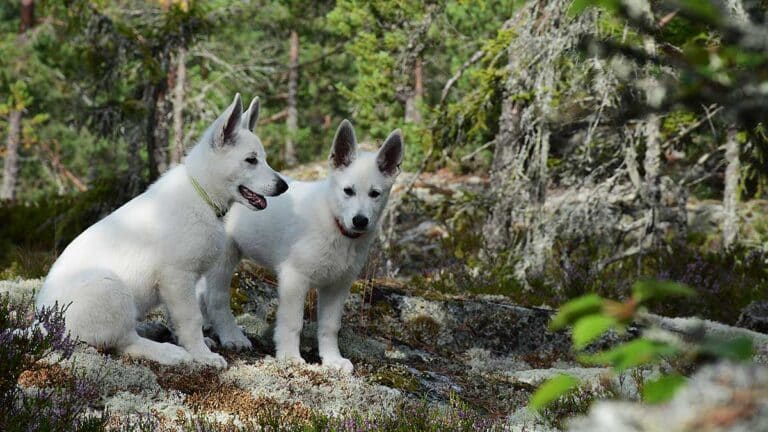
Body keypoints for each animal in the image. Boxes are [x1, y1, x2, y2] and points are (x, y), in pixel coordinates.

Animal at [36, 94, 288, 368]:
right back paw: (169, 352)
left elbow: (178, 318)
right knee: (124, 342)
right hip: (109, 287)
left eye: (264, 158)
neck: (201, 194)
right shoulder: (178, 276)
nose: (283, 186)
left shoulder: (177, 285)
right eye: (251, 160)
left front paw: (194, 343)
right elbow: (192, 318)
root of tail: (42, 327)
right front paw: (201, 355)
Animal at [201, 120, 404, 372]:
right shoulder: (294, 278)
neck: (335, 224)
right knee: (215, 299)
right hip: (223, 259)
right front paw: (290, 357)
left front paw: (332, 359)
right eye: (348, 191)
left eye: (375, 194)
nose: (360, 221)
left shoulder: (338, 286)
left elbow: (330, 327)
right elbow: (293, 322)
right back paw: (231, 337)